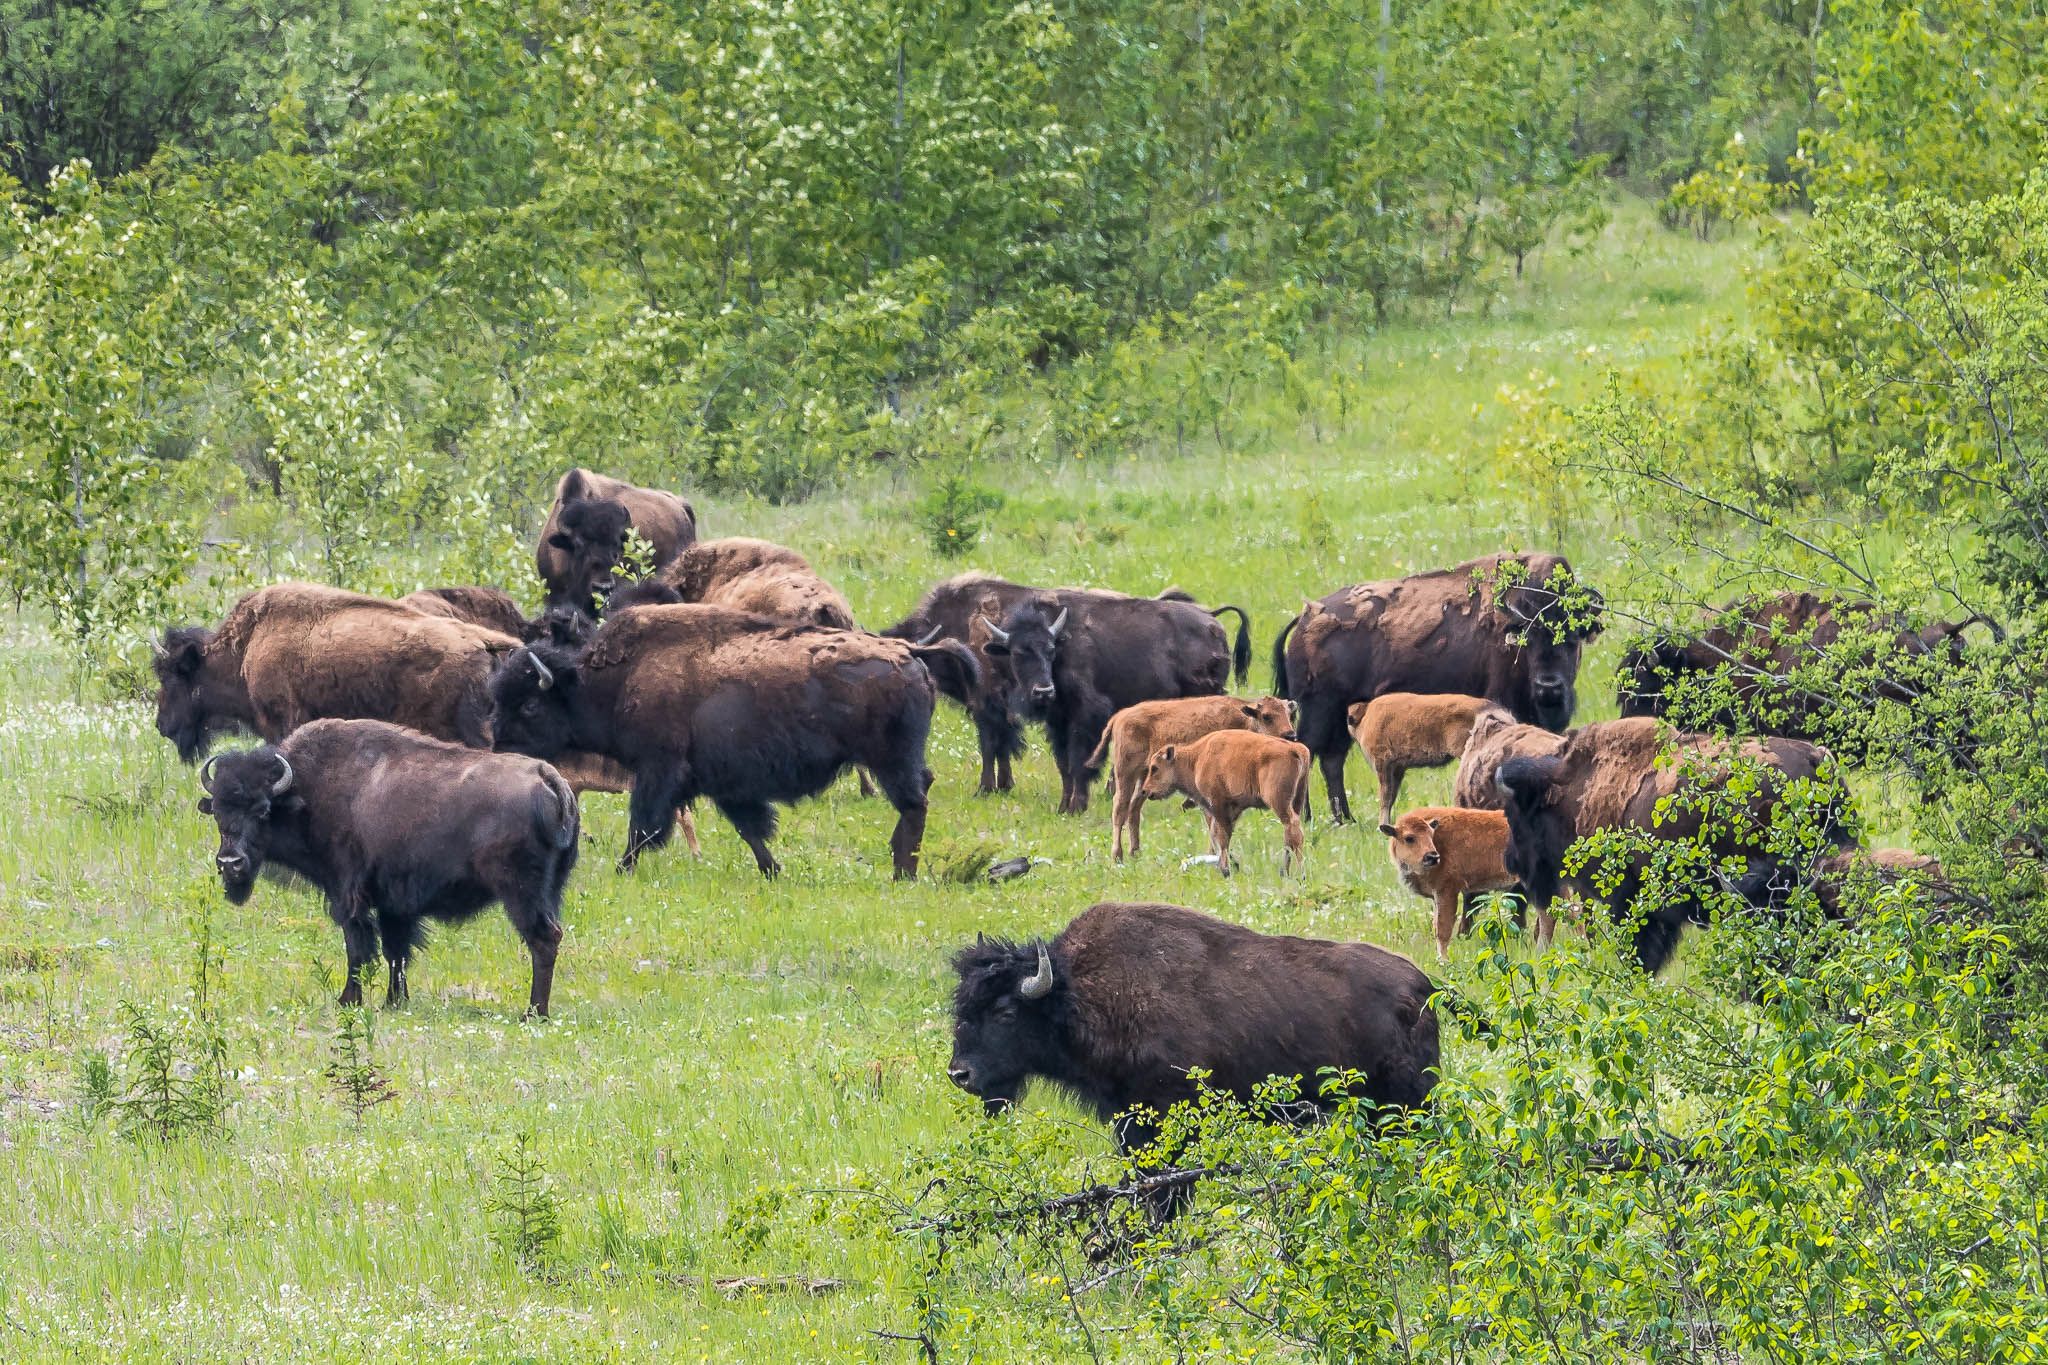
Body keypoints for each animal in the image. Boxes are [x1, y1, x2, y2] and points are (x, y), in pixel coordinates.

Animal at [197, 719, 578, 1016]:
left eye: (262, 810)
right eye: (217, 811)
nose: (230, 862)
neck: (306, 793)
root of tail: (548, 777)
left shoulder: (349, 895)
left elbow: (358, 949)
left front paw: (348, 1001)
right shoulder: (394, 904)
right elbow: (396, 951)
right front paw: (394, 1002)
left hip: (521, 893)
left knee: (544, 939)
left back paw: (534, 1012)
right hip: (551, 891)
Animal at [487, 603, 975, 877]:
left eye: (528, 706)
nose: (498, 751)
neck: (610, 681)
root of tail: (910, 651)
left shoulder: (659, 769)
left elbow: (644, 826)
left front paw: (623, 868)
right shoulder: (724, 782)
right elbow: (749, 827)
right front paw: (772, 870)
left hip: (890, 759)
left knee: (914, 801)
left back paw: (902, 869)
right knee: (920, 793)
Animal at [883, 575, 1251, 813]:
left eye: (1050, 651)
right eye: (1018, 654)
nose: (1043, 690)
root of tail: (1211, 622)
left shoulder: (1007, 708)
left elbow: (1060, 758)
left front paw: (991, 789)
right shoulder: (1053, 721)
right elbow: (1059, 763)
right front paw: (1061, 804)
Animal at [1272, 553, 1602, 822]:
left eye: (1574, 636)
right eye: (1529, 639)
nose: (1549, 687)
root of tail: (1304, 618)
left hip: (1339, 715)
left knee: (1331, 760)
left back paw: (1344, 819)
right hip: (1320, 710)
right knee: (1309, 751)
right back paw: (1308, 818)